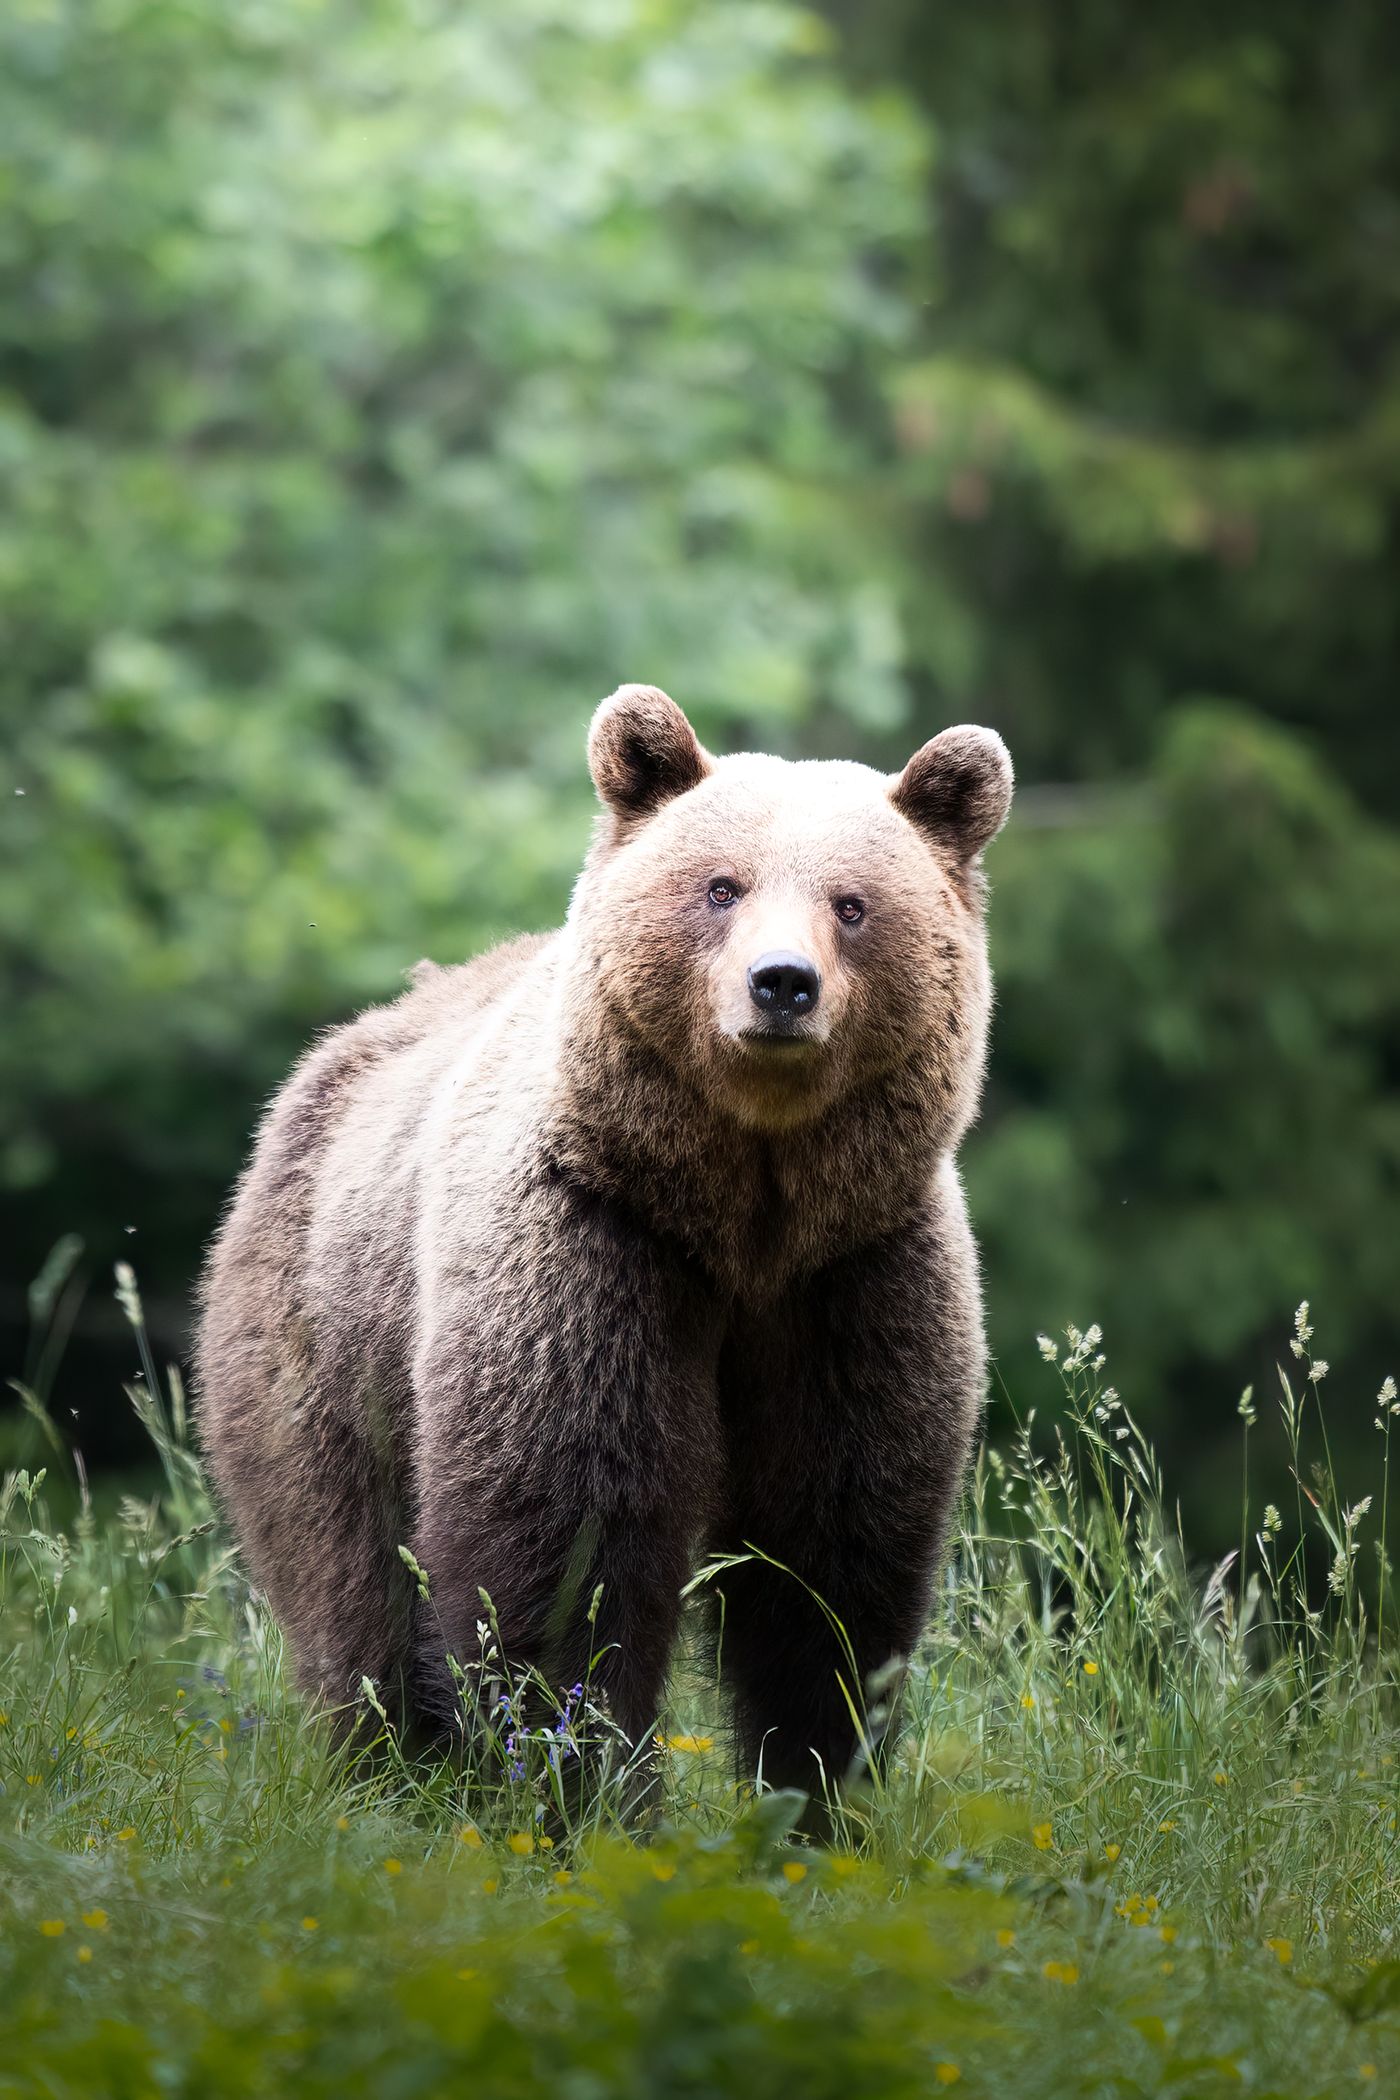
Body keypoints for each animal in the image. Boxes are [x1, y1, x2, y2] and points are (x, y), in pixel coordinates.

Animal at [196, 685, 1013, 1803]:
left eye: (851, 903)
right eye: (721, 886)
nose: (781, 984)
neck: (742, 1216)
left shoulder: (855, 1275)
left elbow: (833, 1555)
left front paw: (817, 1786)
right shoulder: (595, 1245)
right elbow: (570, 1535)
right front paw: (580, 1785)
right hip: (324, 1334)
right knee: (346, 1574)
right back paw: (384, 1769)